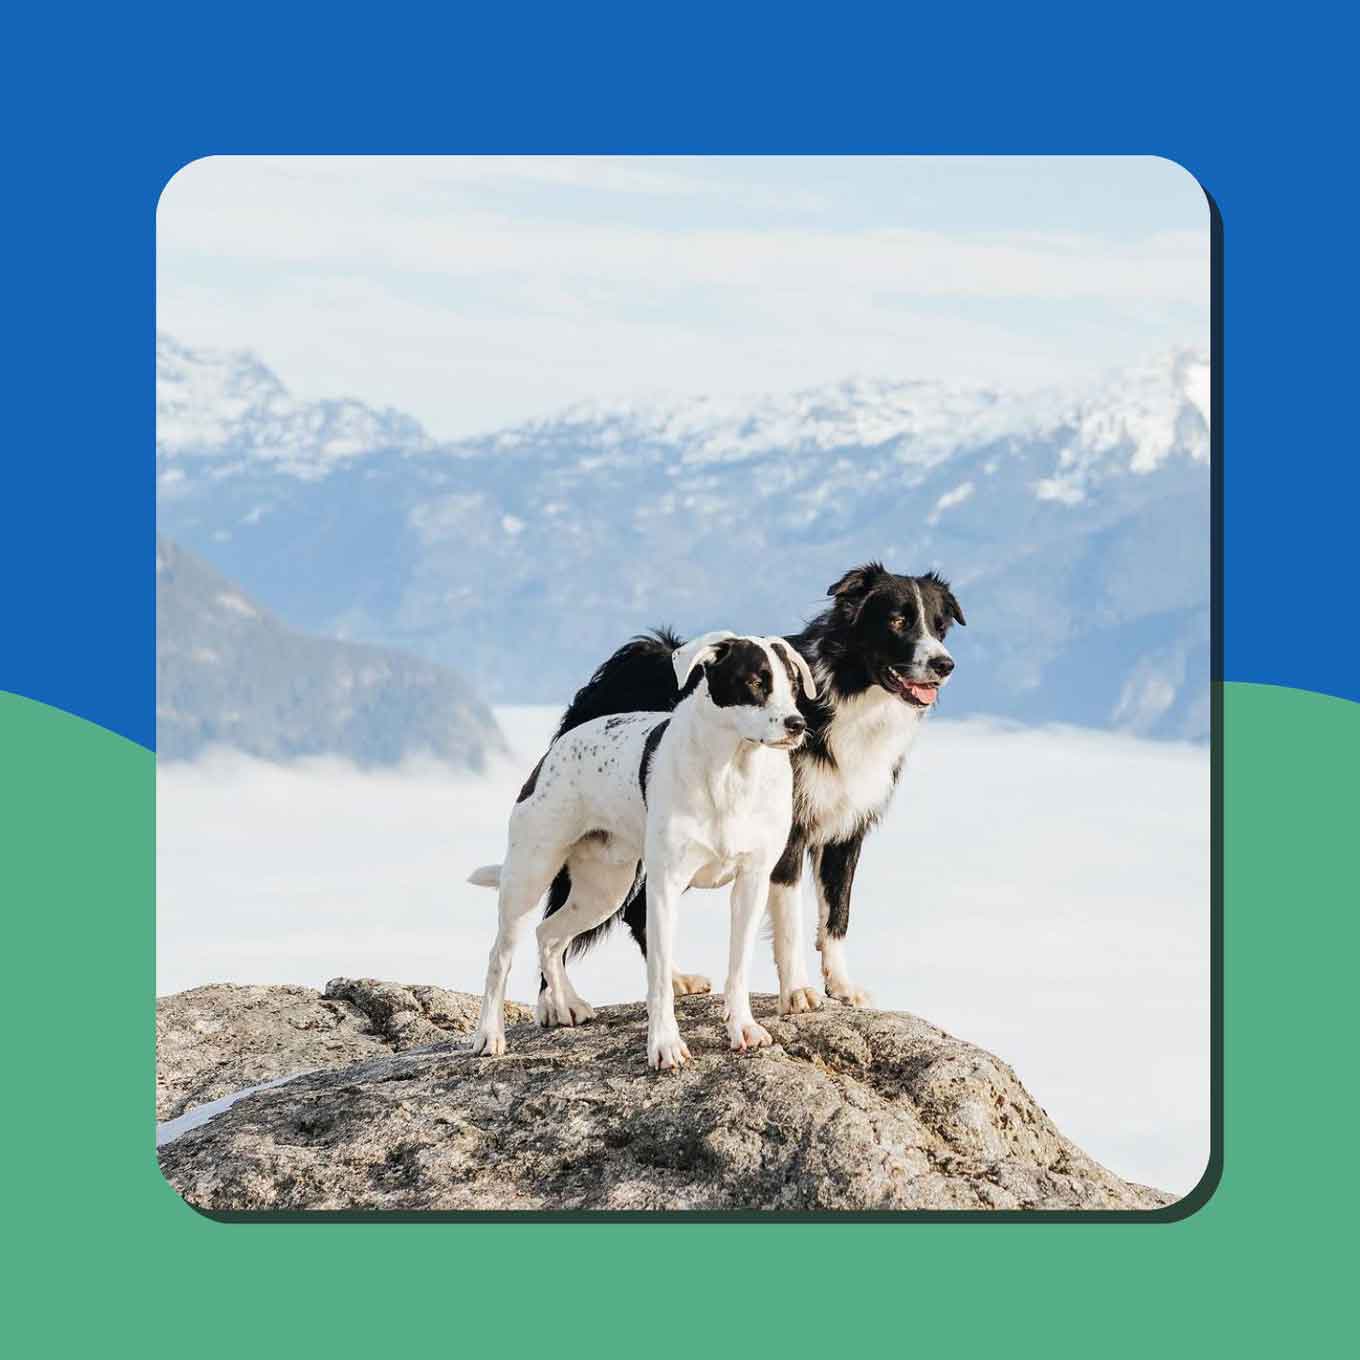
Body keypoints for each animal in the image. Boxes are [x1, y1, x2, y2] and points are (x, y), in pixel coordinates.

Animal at [467, 631, 810, 1066]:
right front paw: (664, 1045)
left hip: (603, 890)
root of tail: (555, 750)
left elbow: (738, 968)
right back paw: (489, 1034)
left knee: (549, 935)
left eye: (794, 686)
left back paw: (566, 1004)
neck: (732, 773)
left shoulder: (752, 883)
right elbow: (660, 978)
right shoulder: (664, 889)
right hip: (529, 876)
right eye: (754, 681)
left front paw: (743, 1028)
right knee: (500, 955)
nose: (797, 724)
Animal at [535, 557, 962, 1017]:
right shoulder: (785, 832)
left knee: (637, 907)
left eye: (940, 626)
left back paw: (674, 978)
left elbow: (837, 915)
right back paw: (555, 1003)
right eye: (898, 621)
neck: (845, 697)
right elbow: (790, 920)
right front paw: (798, 992)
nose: (945, 665)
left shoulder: (845, 831)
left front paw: (843, 986)